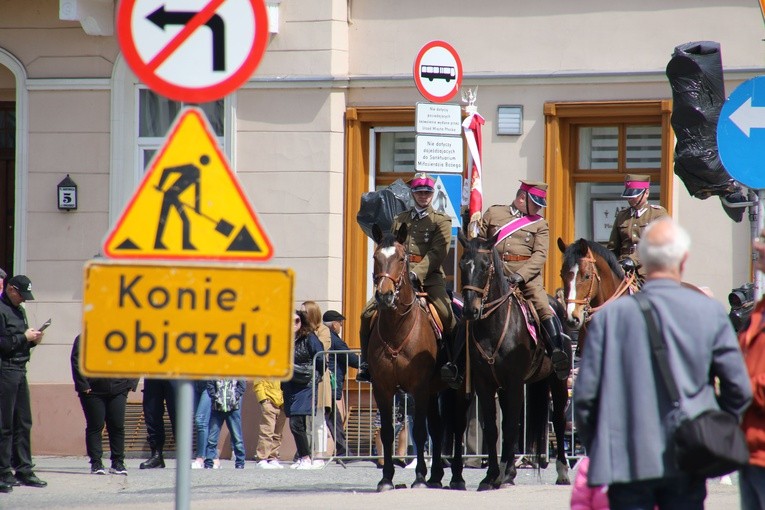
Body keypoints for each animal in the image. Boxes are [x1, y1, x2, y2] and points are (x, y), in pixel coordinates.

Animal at [368, 225, 450, 492]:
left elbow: (421, 433)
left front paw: (420, 477)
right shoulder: (382, 388)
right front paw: (386, 478)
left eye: (401, 258)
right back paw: (436, 476)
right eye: (376, 257)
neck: (397, 329)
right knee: (438, 428)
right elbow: (386, 433)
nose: (384, 295)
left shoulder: (419, 388)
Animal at [456, 232, 572, 490]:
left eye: (485, 266)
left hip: (558, 381)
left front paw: (501, 475)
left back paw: (562, 472)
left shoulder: (515, 382)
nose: (470, 310)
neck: (493, 327)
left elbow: (510, 428)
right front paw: (491, 475)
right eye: (462, 265)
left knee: (559, 421)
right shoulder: (485, 384)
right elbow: (493, 429)